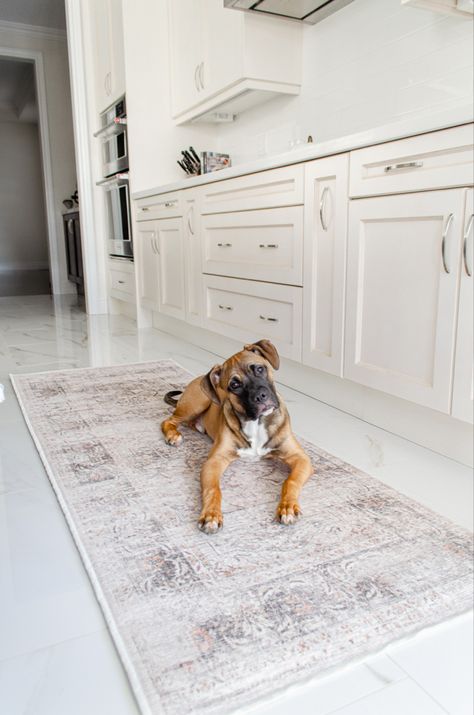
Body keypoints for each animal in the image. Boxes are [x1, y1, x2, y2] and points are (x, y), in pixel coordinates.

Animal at [161, 340, 312, 532]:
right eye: (234, 385)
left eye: (259, 369)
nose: (260, 397)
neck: (256, 422)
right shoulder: (214, 462)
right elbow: (213, 489)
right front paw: (211, 515)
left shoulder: (301, 458)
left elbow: (290, 481)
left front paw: (288, 507)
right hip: (196, 403)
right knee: (169, 420)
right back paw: (173, 435)